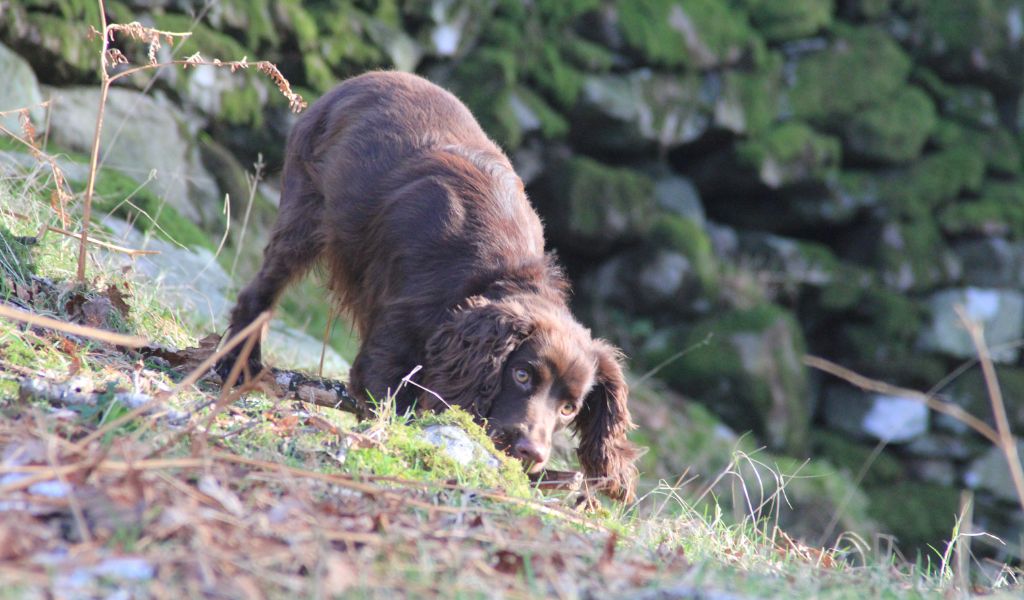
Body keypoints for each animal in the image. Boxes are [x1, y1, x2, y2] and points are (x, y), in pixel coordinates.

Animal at [222, 70, 638, 499]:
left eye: (569, 408)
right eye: (522, 375)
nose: (530, 452)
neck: (496, 277)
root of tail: (358, 80)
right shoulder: (390, 346)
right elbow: (394, 408)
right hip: (305, 215)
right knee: (261, 291)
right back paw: (237, 362)